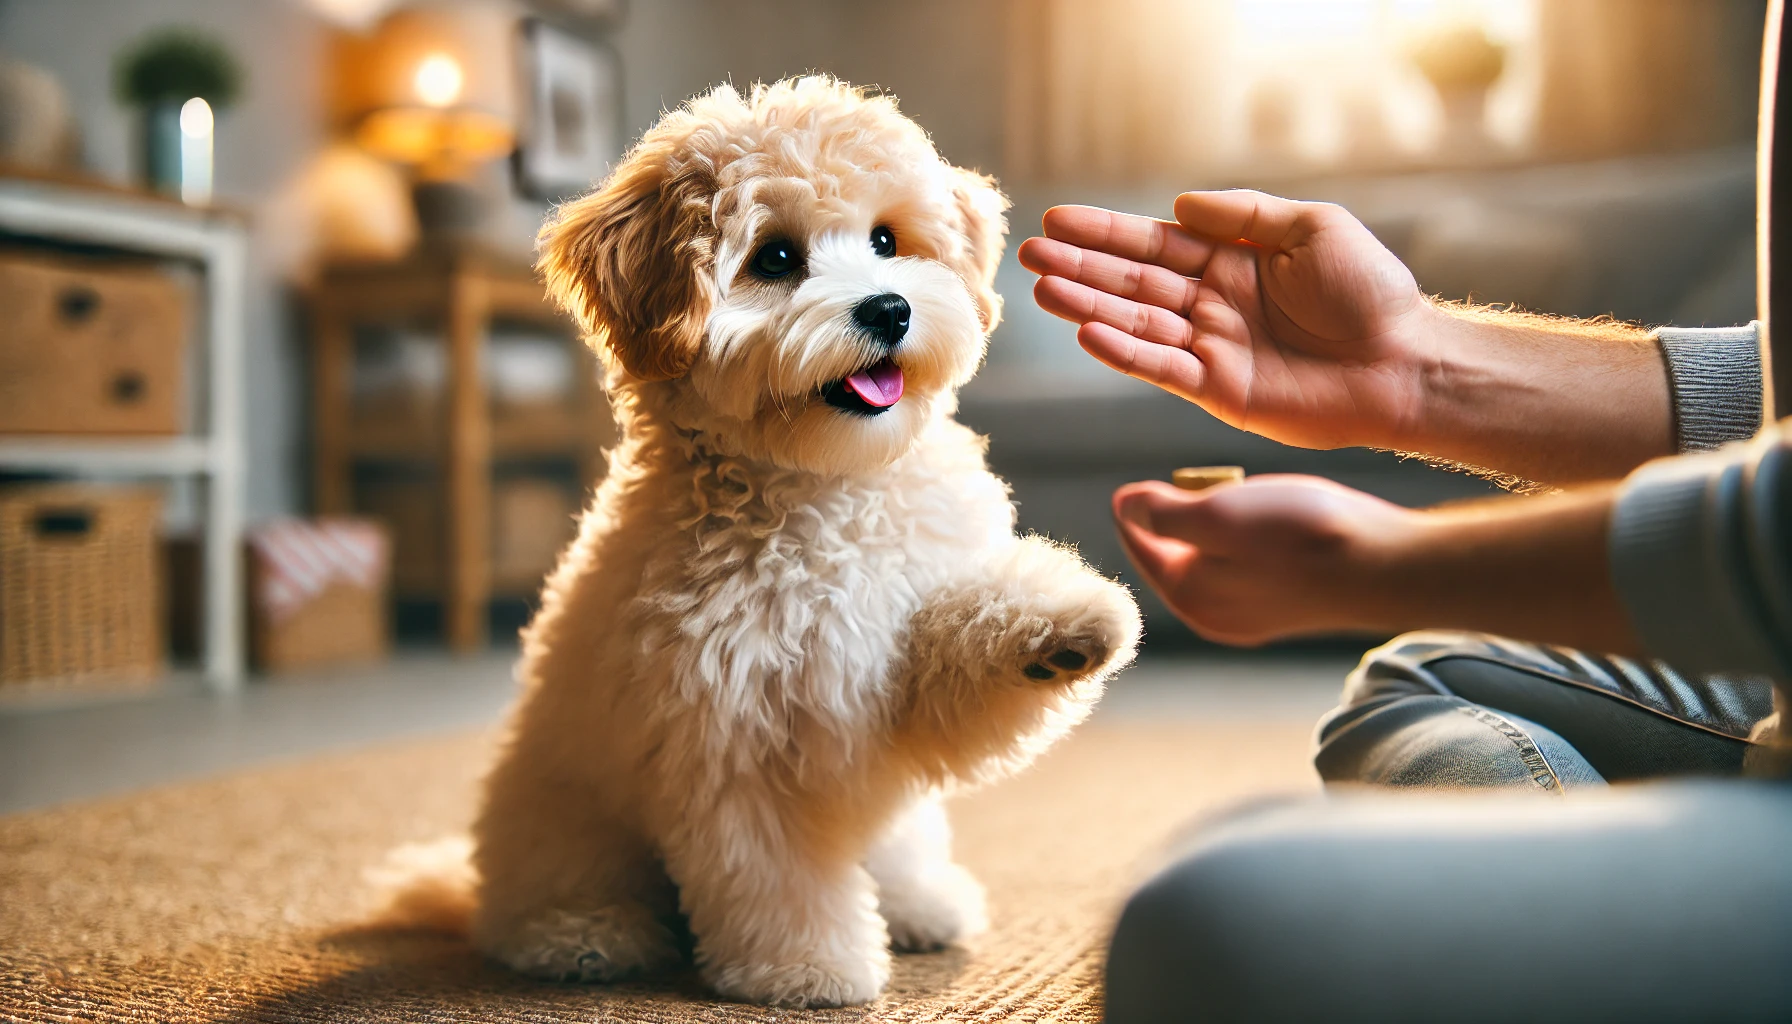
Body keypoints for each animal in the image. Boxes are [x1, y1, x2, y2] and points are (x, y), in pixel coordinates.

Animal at [385, 76, 1139, 1004]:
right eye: (775, 258)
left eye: (887, 241)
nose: (890, 307)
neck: (821, 489)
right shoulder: (729, 737)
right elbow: (775, 872)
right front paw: (807, 967)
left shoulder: (899, 656)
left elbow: (960, 654)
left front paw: (1065, 623)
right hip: (561, 815)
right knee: (546, 897)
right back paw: (583, 934)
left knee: (898, 848)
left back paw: (921, 903)